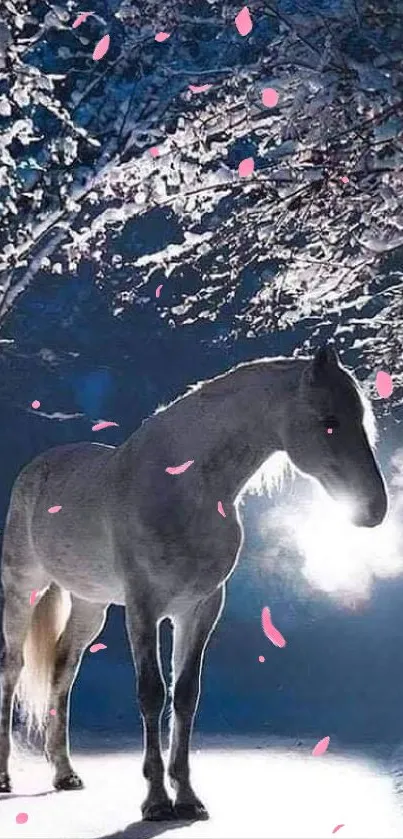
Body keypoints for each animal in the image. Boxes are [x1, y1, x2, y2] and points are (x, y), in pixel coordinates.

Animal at [0, 346, 388, 820]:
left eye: (361, 418)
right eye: (329, 421)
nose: (373, 509)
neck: (185, 487)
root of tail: (38, 467)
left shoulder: (199, 608)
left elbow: (185, 694)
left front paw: (186, 797)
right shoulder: (144, 607)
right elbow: (152, 692)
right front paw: (155, 801)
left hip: (90, 606)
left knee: (62, 669)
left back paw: (65, 774)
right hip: (23, 590)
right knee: (12, 667)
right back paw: (4, 775)